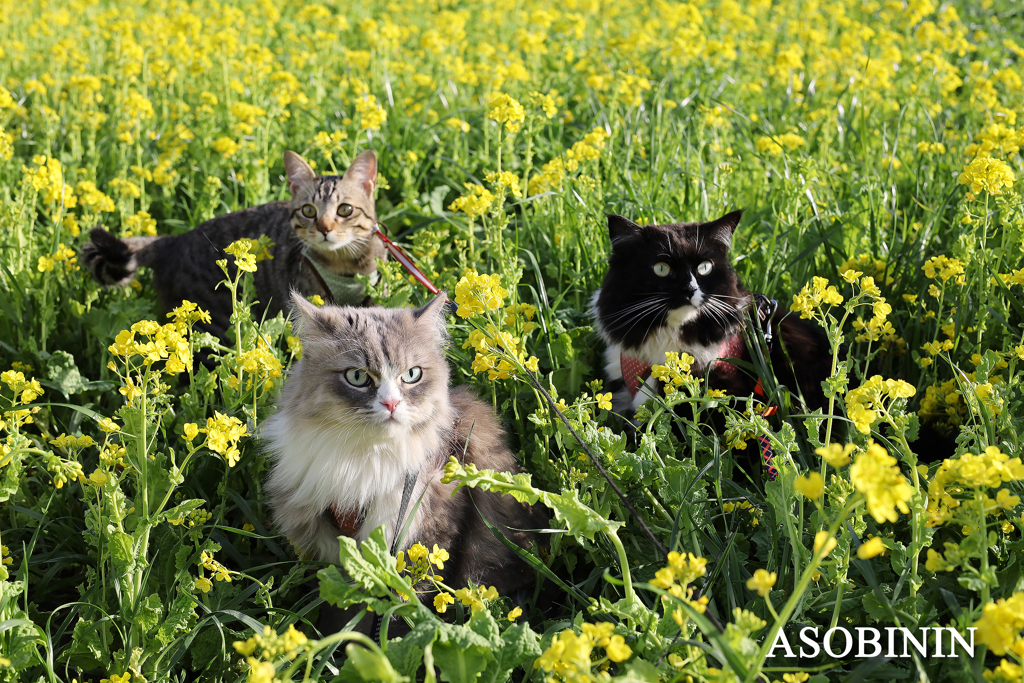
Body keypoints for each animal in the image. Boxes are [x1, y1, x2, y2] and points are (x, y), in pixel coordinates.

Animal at [79, 150, 385, 342]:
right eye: (309, 211)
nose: (324, 229)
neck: (346, 265)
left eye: (345, 210)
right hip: (213, 320)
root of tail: (175, 239)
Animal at [264, 294, 544, 593]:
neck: (367, 457)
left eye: (411, 375)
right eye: (356, 376)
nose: (391, 403)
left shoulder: (430, 526)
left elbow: (413, 592)